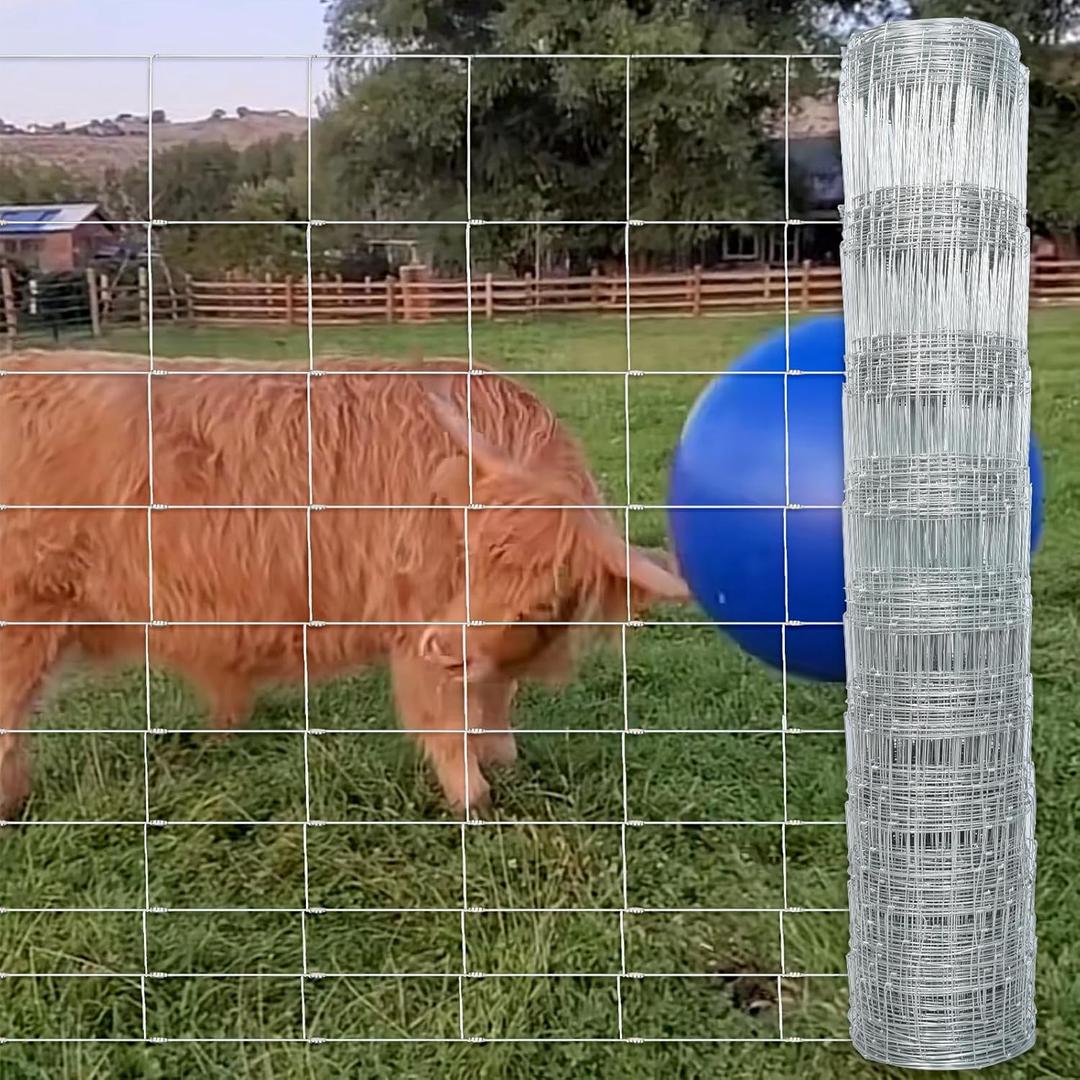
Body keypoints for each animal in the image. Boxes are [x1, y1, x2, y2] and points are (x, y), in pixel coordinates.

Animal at [0, 350, 689, 819]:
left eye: (541, 597)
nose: (447, 646)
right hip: (26, 612)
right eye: (467, 553)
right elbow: (447, 715)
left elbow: (494, 696)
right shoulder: (419, 625)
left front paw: (504, 760)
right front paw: (474, 798)